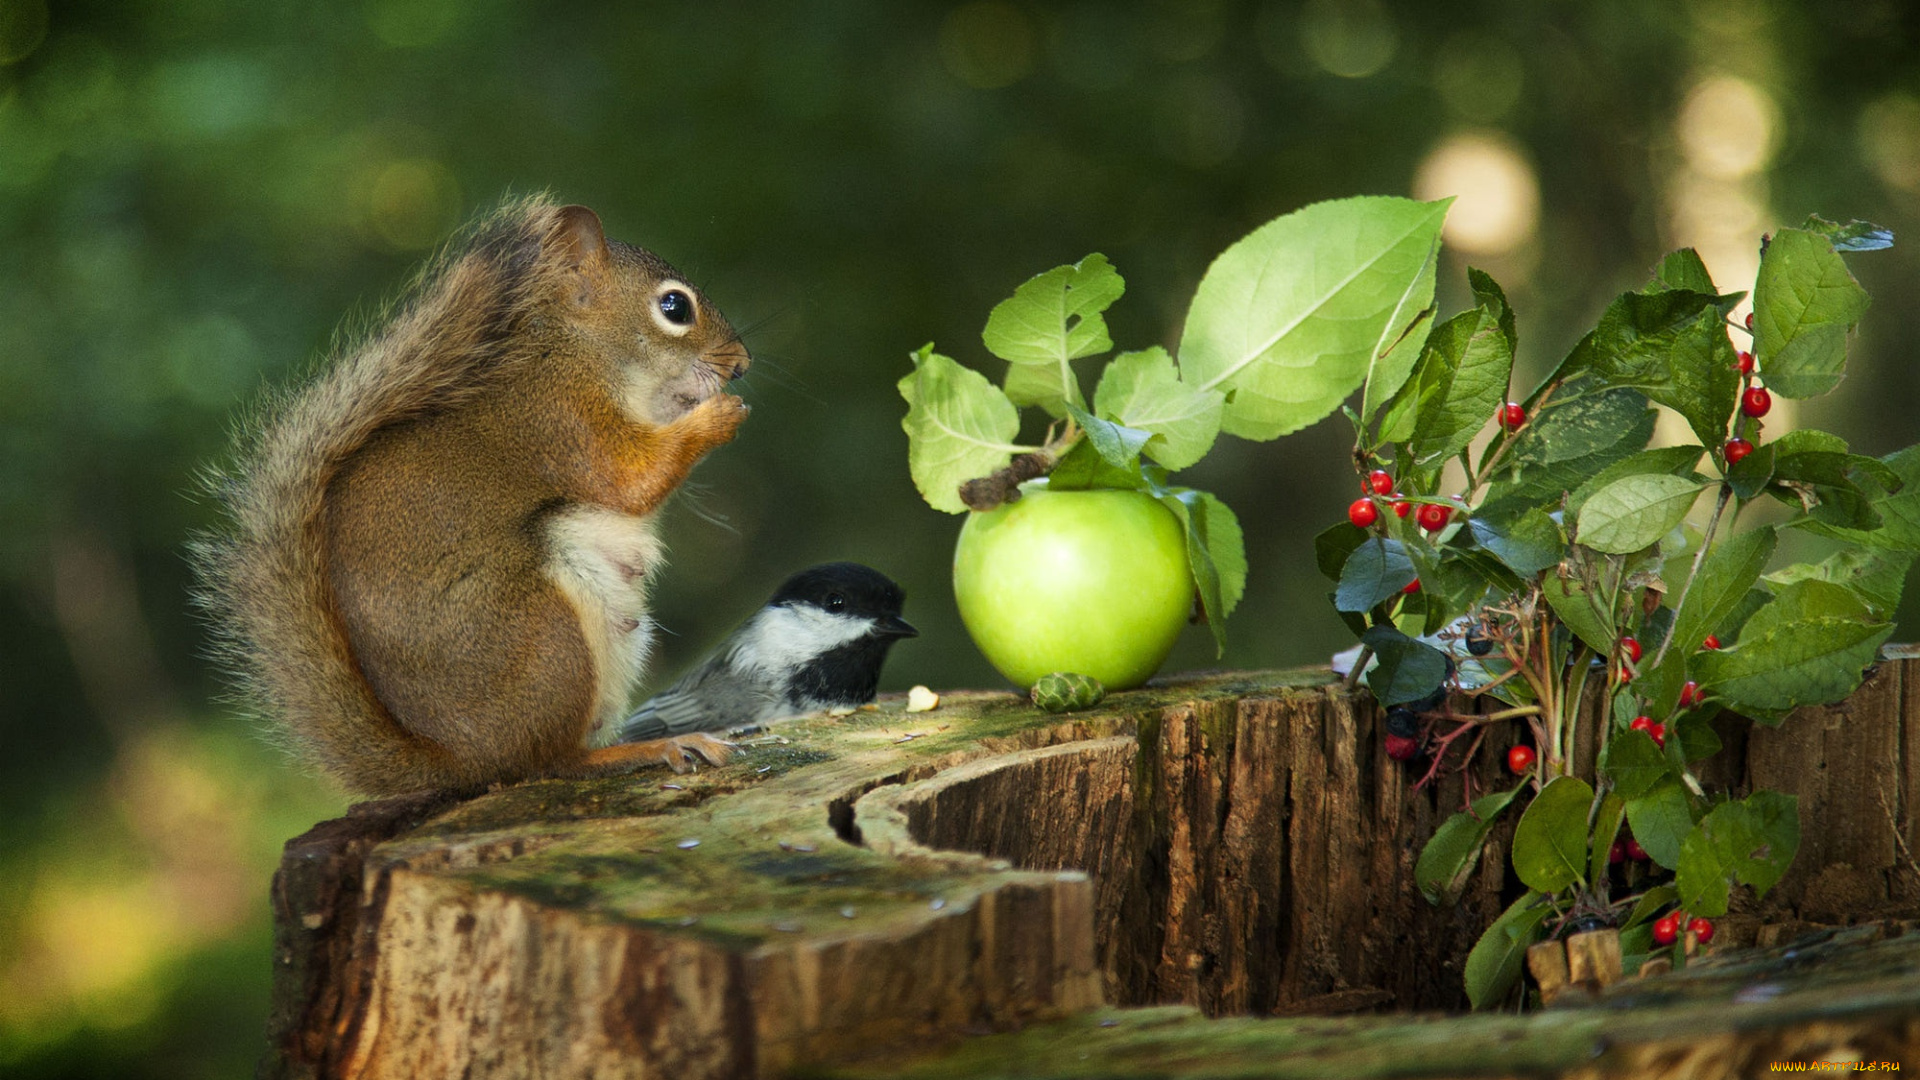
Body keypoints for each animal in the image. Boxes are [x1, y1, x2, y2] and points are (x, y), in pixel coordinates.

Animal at [196, 197, 748, 795]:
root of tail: (463, 758)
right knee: (547, 761)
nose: (741, 363)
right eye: (674, 306)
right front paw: (718, 416)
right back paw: (644, 749)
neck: (581, 351)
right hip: (543, 637)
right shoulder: (560, 420)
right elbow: (629, 479)